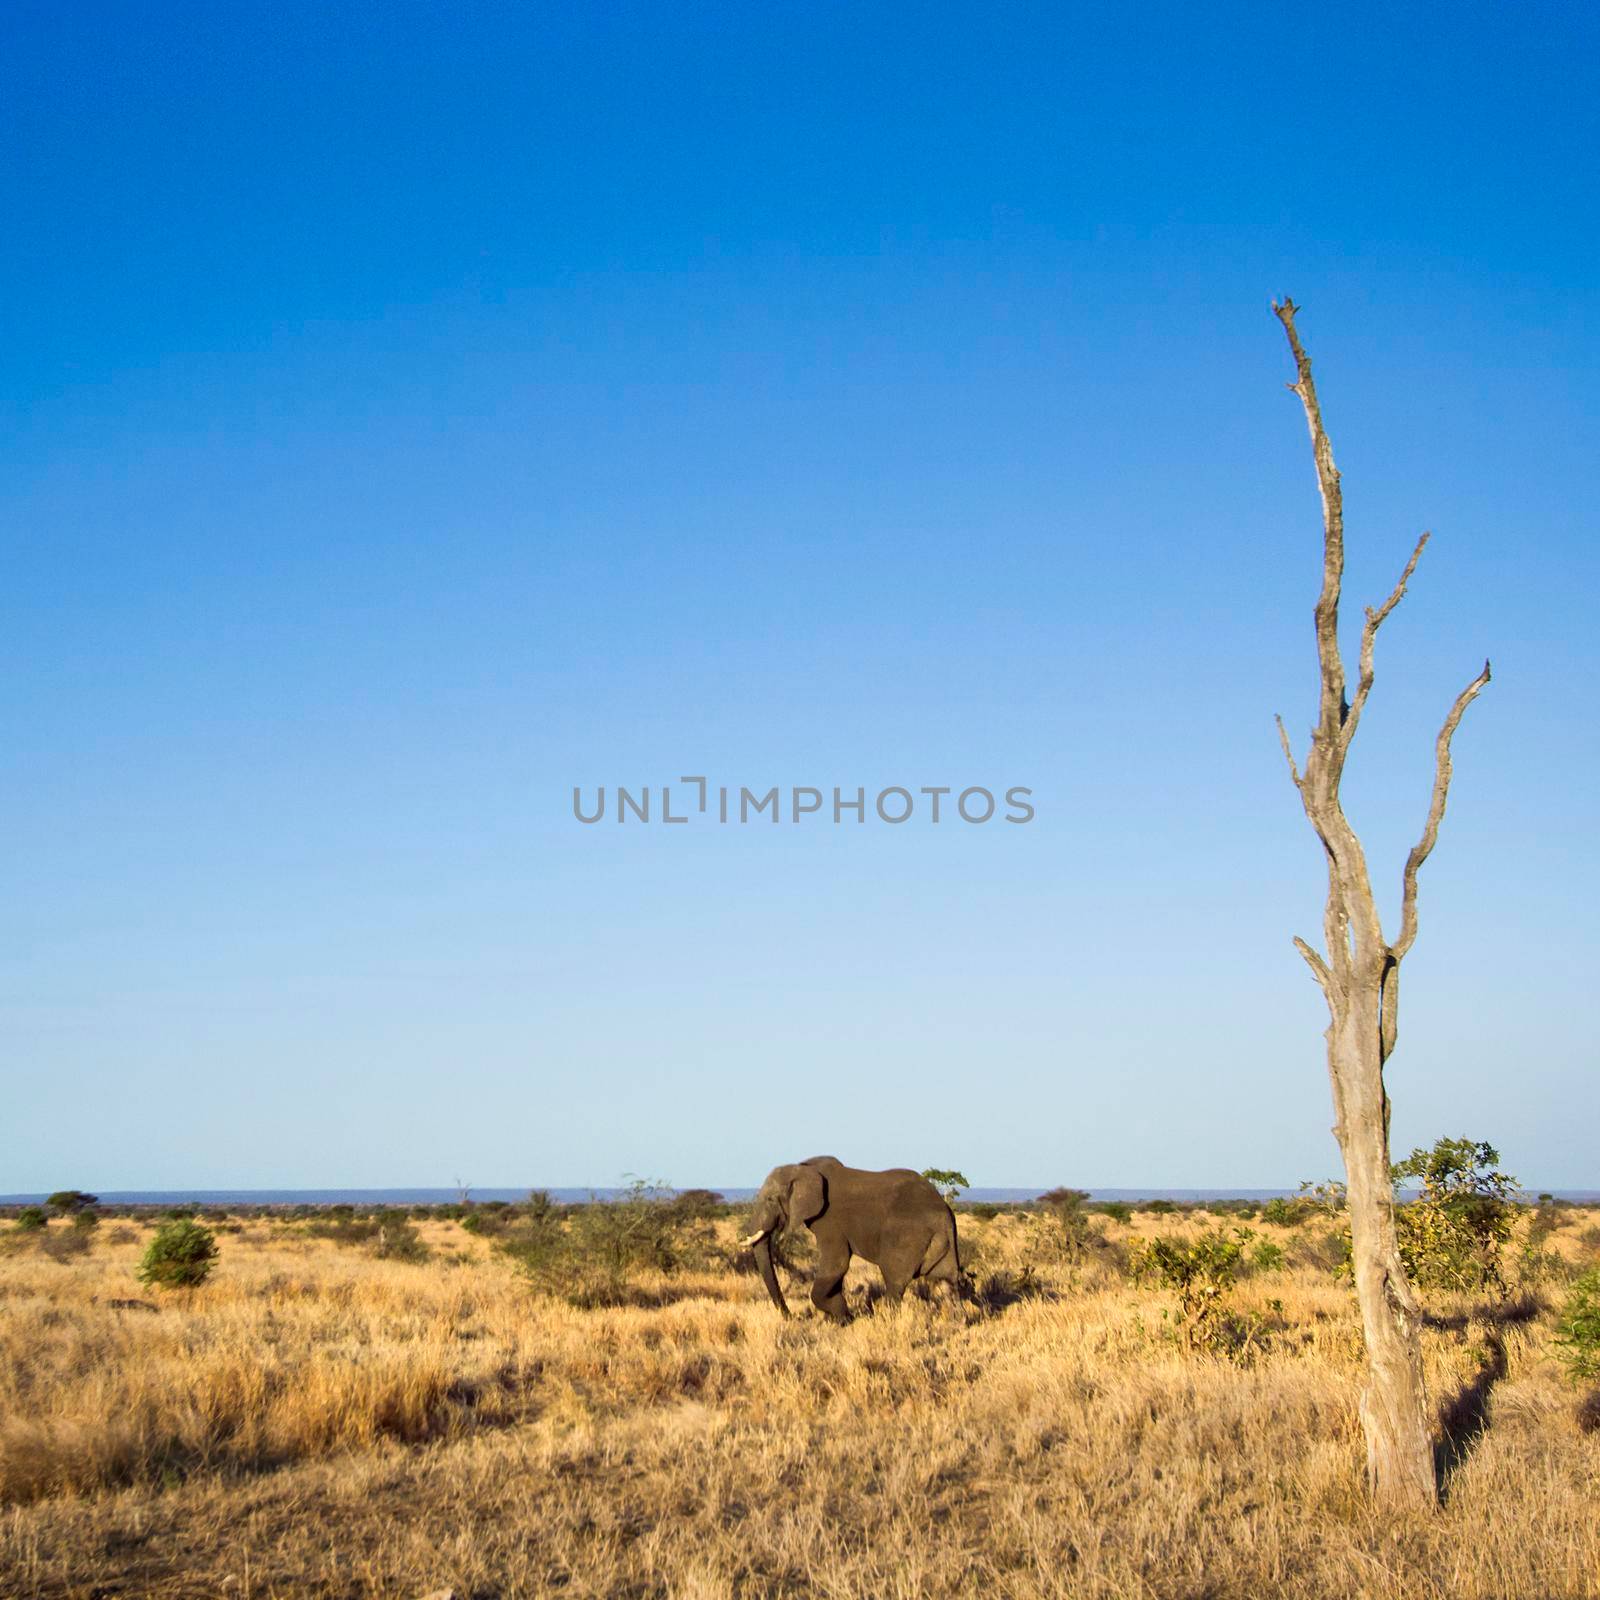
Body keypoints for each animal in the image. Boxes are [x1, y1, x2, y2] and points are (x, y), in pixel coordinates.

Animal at [739, 1158, 953, 1318]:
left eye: (770, 1200)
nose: (792, 1316)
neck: (803, 1169)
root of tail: (945, 1211)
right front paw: (838, 1317)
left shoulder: (829, 1219)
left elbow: (837, 1265)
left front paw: (843, 1318)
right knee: (951, 1278)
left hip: (907, 1237)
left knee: (894, 1281)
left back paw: (886, 1317)